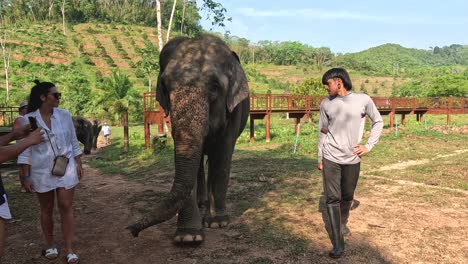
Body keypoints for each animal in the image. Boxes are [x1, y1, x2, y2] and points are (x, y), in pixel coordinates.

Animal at [126, 34, 250, 243]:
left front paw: (217, 223)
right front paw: (188, 236)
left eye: (215, 86)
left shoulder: (234, 112)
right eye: (165, 86)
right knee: (199, 163)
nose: (131, 230)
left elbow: (222, 155)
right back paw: (201, 204)